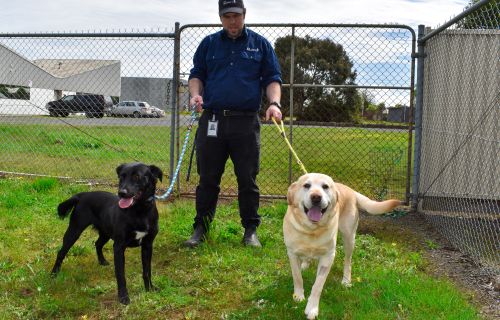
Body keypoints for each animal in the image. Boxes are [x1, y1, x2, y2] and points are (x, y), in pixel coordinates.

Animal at [50, 162, 162, 304]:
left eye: (137, 176)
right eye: (121, 177)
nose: (121, 193)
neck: (139, 212)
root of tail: (82, 195)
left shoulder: (148, 245)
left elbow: (147, 271)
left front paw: (150, 289)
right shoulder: (119, 246)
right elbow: (121, 275)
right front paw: (123, 297)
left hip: (105, 233)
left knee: (97, 243)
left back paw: (102, 261)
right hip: (74, 230)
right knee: (61, 252)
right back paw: (54, 274)